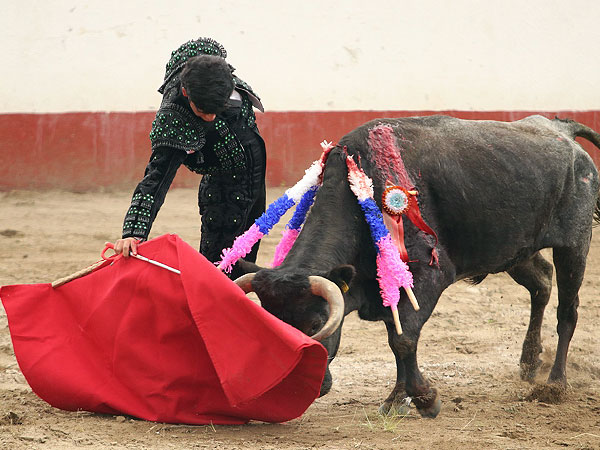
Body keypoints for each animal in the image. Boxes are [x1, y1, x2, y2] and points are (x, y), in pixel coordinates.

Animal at [234, 114, 600, 416]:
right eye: (268, 326)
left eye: (315, 324)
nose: (303, 388)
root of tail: (562, 130)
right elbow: (397, 338)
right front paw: (399, 398)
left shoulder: (426, 276)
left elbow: (403, 339)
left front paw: (424, 398)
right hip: (512, 249)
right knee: (541, 282)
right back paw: (528, 362)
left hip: (574, 244)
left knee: (568, 311)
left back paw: (555, 385)